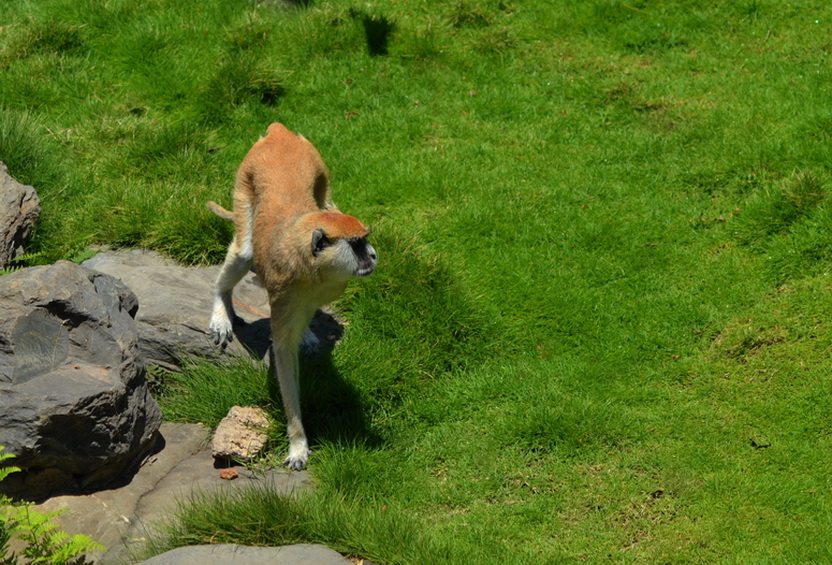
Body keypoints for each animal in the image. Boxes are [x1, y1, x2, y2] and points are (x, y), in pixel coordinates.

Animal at [208, 123, 376, 472]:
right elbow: (283, 352)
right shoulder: (284, 287)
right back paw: (221, 306)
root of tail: (279, 133)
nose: (373, 255)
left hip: (320, 174)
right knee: (244, 252)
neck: (311, 264)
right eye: (357, 245)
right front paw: (298, 443)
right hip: (245, 181)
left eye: (365, 240)